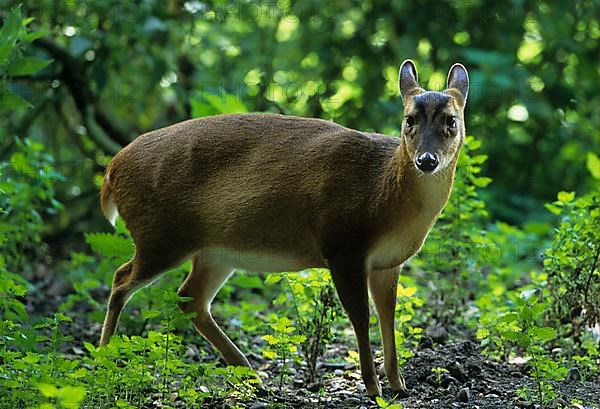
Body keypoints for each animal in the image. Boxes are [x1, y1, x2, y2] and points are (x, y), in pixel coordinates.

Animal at [98, 59, 468, 396]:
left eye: (451, 120)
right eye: (409, 119)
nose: (426, 160)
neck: (382, 189)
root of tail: (111, 171)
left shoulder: (388, 262)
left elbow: (388, 317)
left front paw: (398, 384)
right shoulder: (343, 245)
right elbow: (361, 317)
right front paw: (373, 387)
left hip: (215, 252)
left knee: (189, 299)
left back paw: (250, 374)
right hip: (160, 235)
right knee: (121, 279)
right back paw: (103, 360)